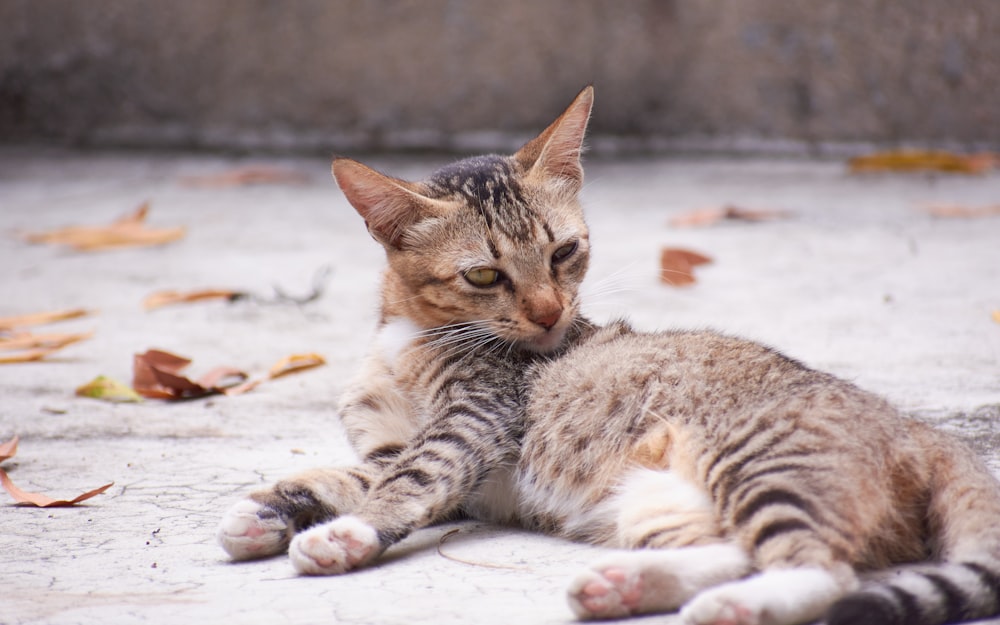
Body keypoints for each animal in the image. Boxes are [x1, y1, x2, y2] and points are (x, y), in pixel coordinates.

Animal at [219, 86, 1000, 624]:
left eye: (564, 251)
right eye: (484, 275)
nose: (547, 313)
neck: (407, 338)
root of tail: (923, 430)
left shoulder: (477, 419)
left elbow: (410, 476)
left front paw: (348, 531)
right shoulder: (398, 448)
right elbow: (357, 472)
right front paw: (272, 511)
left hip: (762, 458)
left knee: (828, 573)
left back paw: (739, 605)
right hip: (662, 503)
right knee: (741, 548)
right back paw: (626, 586)